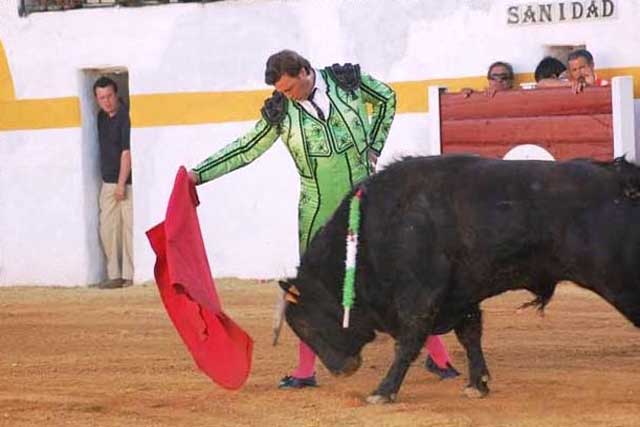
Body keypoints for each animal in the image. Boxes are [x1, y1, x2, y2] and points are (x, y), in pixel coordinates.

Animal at [278, 155, 640, 404]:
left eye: (305, 324)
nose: (342, 370)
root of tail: (622, 179)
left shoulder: (420, 296)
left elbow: (408, 343)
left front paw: (383, 392)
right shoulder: (462, 295)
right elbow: (470, 336)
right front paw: (477, 384)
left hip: (620, 280)